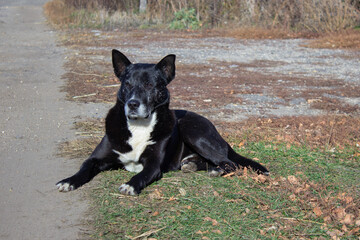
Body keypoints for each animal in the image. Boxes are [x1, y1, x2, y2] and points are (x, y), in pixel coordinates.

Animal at [56, 50, 268, 195]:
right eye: (127, 84)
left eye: (149, 85)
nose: (132, 104)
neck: (139, 125)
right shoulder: (96, 158)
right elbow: (84, 167)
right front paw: (69, 181)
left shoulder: (153, 165)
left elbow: (141, 174)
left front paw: (130, 185)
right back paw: (193, 166)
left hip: (192, 131)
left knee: (230, 163)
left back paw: (216, 170)